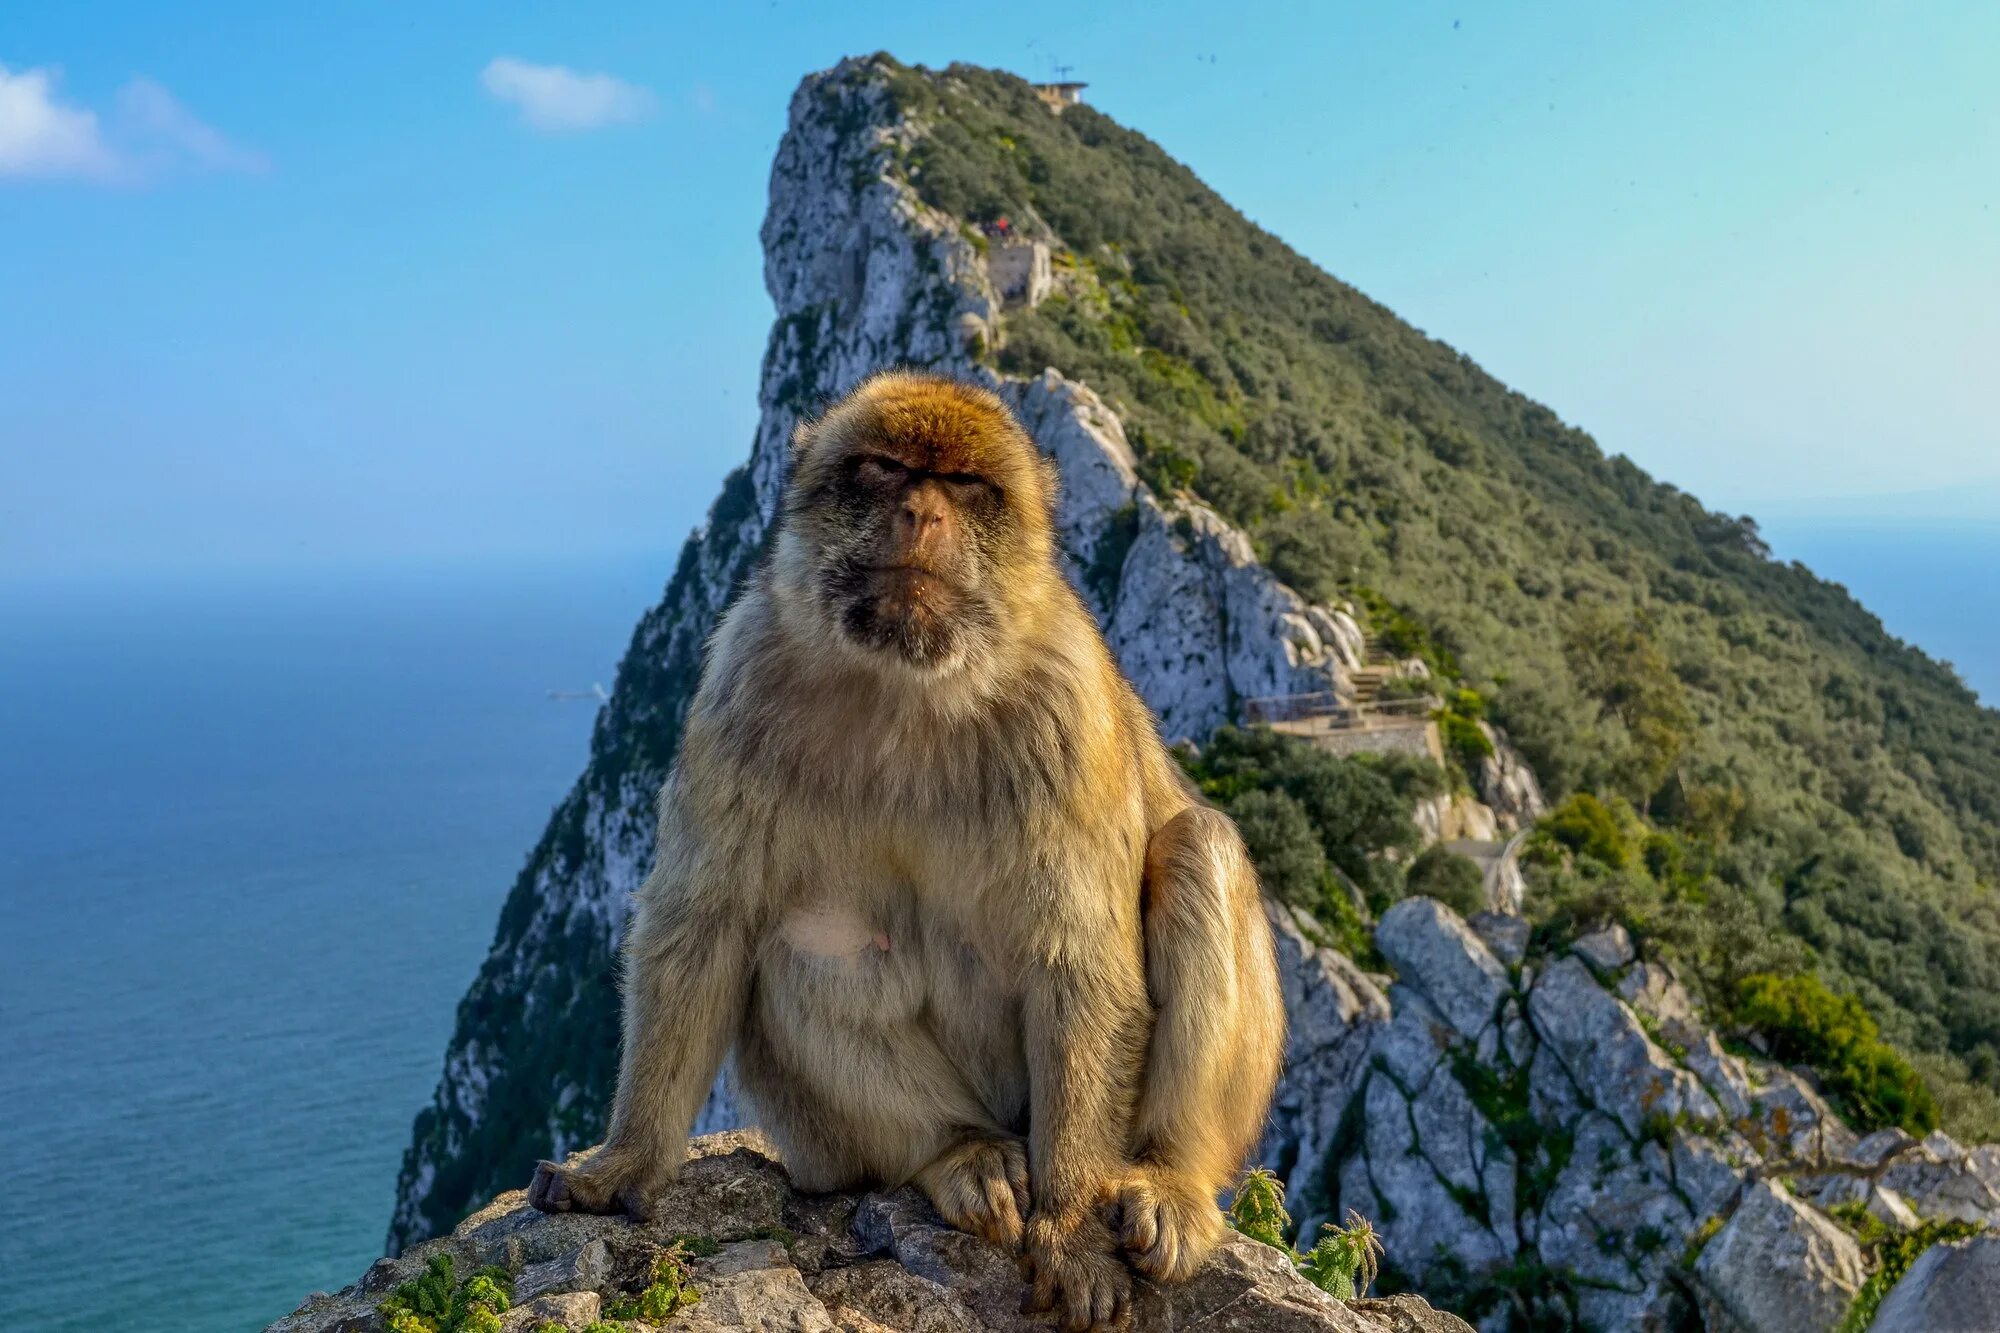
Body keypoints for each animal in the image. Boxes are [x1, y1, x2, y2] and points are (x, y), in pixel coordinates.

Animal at [528, 368, 1280, 1320]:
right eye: (884, 469)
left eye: (966, 485)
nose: (922, 513)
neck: (908, 684)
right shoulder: (742, 679)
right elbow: (704, 922)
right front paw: (621, 1161)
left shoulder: (1065, 706)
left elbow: (1079, 963)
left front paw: (1071, 1230)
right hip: (846, 1140)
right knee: (798, 944)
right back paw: (959, 1153)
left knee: (1196, 847)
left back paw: (1171, 1177)